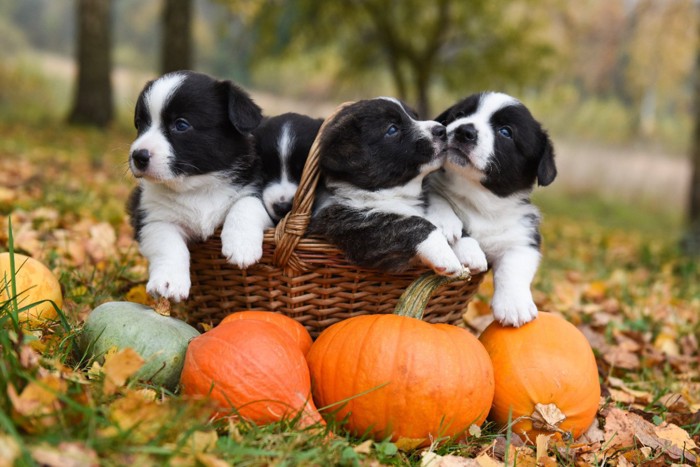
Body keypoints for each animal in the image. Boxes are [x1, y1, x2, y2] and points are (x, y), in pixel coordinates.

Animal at [126, 71, 270, 302]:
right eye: (140, 124)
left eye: (181, 125)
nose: (138, 156)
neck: (197, 186)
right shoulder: (151, 218)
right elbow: (169, 245)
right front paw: (169, 283)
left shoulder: (255, 188)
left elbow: (245, 205)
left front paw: (241, 246)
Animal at [310, 97, 470, 276]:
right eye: (392, 129)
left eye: (415, 117)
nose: (442, 130)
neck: (392, 192)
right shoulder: (351, 225)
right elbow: (410, 223)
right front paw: (445, 256)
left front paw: (467, 245)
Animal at [426, 90, 556, 326]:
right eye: (459, 114)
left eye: (506, 131)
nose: (464, 130)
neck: (479, 198)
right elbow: (438, 197)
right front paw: (454, 232)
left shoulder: (523, 238)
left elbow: (514, 267)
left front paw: (514, 305)